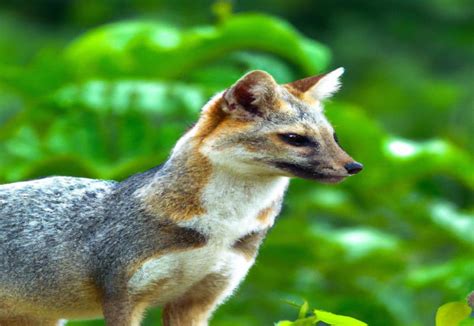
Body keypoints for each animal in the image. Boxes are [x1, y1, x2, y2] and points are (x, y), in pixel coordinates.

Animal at [0, 67, 362, 324]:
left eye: (334, 138)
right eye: (295, 139)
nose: (354, 166)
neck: (224, 225)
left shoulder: (196, 303)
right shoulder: (122, 298)